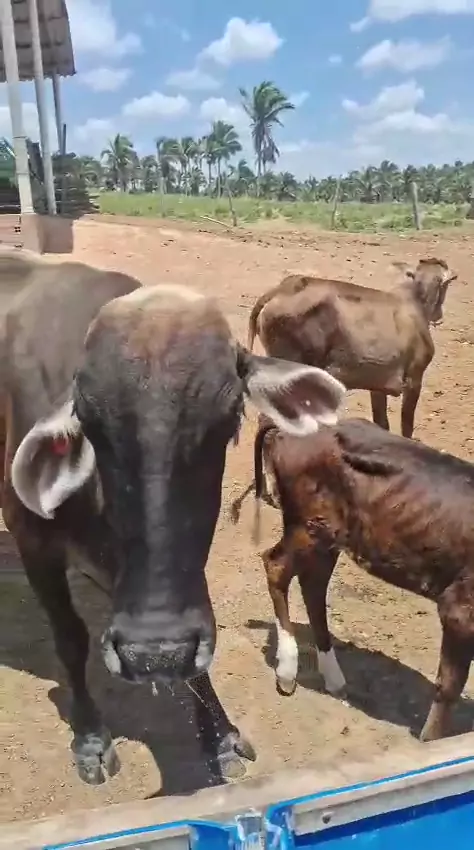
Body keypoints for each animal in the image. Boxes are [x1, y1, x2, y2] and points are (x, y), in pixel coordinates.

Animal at [0, 247, 347, 785]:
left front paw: (219, 736)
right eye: (89, 422)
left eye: (230, 417)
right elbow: (71, 638)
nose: (153, 653)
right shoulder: (31, 539)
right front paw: (91, 739)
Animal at [232, 414, 474, 743]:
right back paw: (288, 669)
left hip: (329, 537)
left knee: (313, 585)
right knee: (276, 566)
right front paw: (429, 745)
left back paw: (334, 678)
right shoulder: (459, 610)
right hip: (308, 527)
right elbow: (448, 690)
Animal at [246, 258, 456, 439]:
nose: (439, 315)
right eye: (446, 284)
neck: (417, 300)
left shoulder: (378, 383)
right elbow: (407, 426)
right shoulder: (414, 378)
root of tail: (282, 289)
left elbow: (382, 422)